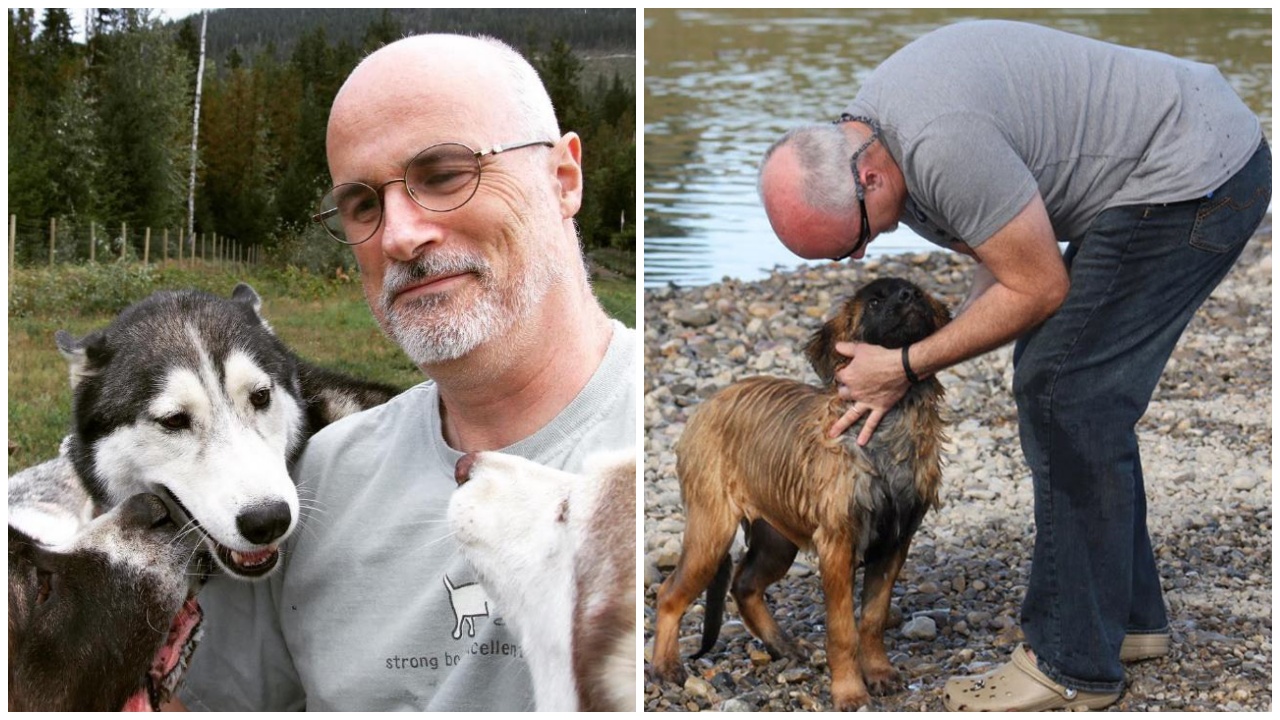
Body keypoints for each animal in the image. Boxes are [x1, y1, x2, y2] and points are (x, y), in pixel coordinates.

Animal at [655, 278, 947, 707]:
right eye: (876, 301)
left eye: (916, 292)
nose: (909, 298)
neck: (886, 428)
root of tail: (708, 404)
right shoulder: (838, 543)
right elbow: (842, 630)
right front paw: (850, 692)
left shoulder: (895, 542)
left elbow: (872, 620)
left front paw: (879, 673)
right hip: (711, 531)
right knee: (670, 593)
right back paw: (665, 667)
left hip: (776, 541)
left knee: (744, 585)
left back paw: (784, 646)